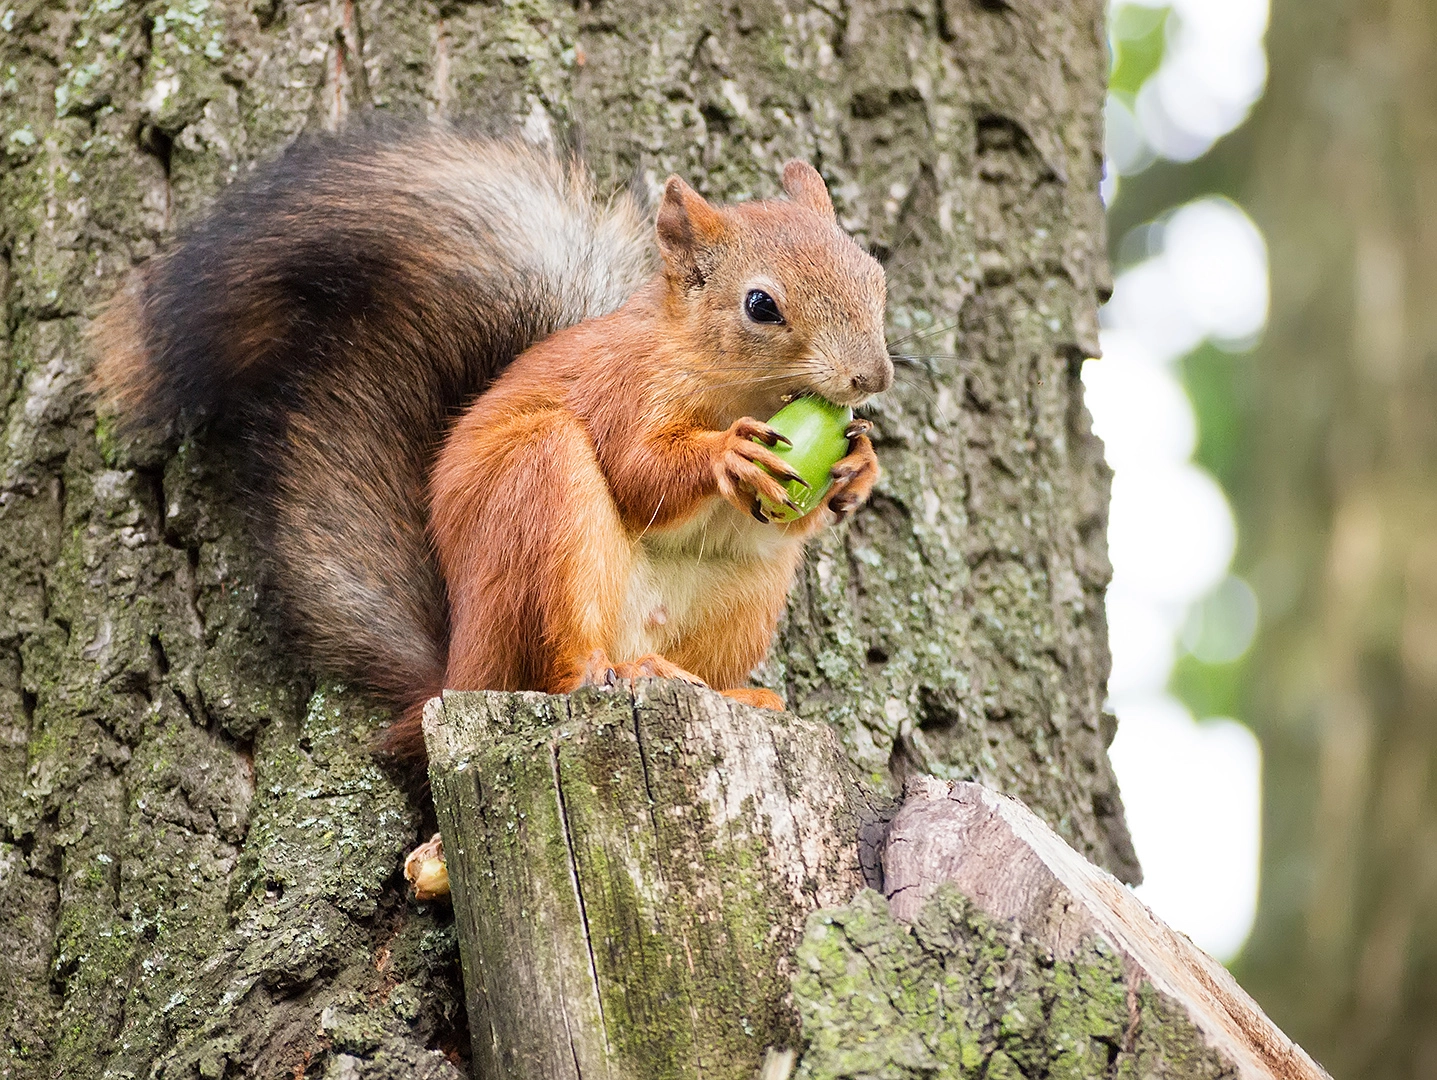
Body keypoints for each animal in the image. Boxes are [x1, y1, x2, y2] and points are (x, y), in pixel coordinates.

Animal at [91, 123, 891, 764]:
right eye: (760, 305)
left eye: (875, 276)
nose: (872, 376)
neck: (739, 389)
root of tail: (455, 676)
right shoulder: (621, 388)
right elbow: (639, 473)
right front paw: (727, 453)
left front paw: (860, 464)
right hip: (539, 493)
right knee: (556, 668)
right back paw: (610, 672)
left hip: (745, 592)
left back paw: (730, 695)